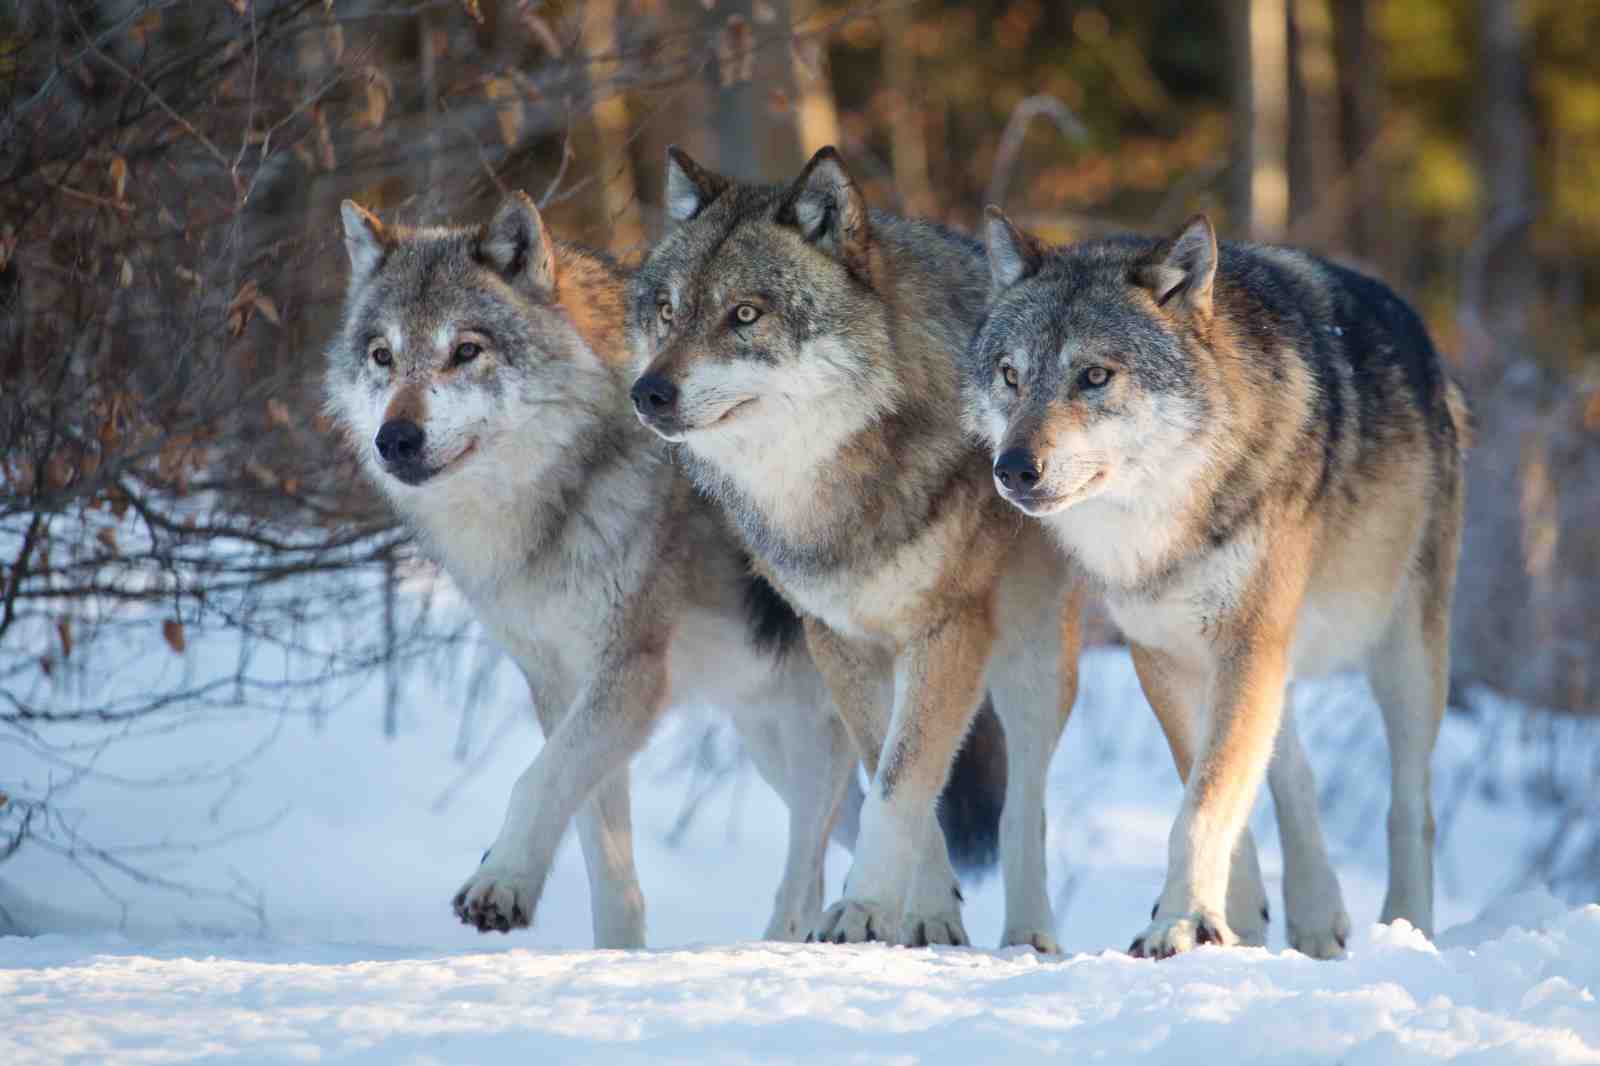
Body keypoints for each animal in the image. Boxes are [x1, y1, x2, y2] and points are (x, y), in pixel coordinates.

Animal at [325, 192, 1006, 947]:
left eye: (465, 351)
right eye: (382, 356)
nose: (395, 439)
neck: (561, 493)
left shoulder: (631, 674)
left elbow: (535, 781)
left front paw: (497, 882)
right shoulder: (560, 686)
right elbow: (600, 849)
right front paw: (612, 951)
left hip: (817, 719)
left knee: (824, 844)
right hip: (769, 728)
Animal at [627, 146, 1087, 951]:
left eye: (745, 313)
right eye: (667, 311)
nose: (647, 393)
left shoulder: (949, 631)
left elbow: (906, 780)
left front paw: (865, 908)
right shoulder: (837, 638)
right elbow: (893, 774)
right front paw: (919, 914)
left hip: (1031, 659)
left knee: (1024, 805)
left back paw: (1031, 937)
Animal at [970, 209, 1469, 958]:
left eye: (1095, 376)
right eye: (1010, 374)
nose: (1012, 469)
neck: (1164, 519)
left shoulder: (1244, 642)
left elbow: (1204, 801)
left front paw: (1180, 922)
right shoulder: (1165, 655)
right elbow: (1206, 787)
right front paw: (1224, 916)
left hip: (1402, 657)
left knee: (1412, 805)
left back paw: (1406, 928)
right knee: (1292, 769)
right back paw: (1315, 915)